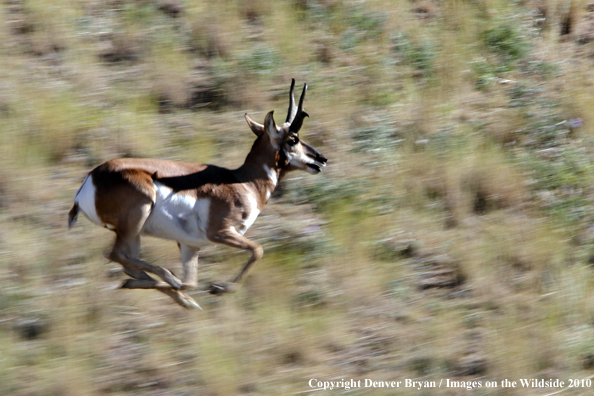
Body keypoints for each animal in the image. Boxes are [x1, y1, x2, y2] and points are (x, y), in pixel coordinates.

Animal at [67, 79, 326, 310]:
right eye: (293, 139)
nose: (321, 159)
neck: (242, 181)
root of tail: (91, 179)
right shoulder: (221, 233)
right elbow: (258, 250)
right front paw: (219, 288)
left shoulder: (190, 245)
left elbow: (191, 282)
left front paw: (193, 293)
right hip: (135, 221)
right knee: (115, 255)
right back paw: (169, 279)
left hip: (135, 234)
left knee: (130, 265)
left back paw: (174, 294)